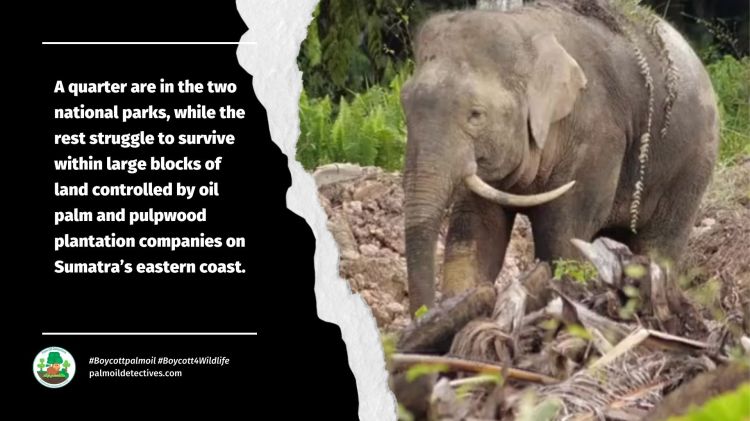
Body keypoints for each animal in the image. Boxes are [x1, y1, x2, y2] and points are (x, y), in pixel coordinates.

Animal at [401, 0, 719, 315]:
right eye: (406, 104)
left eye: (476, 114)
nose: (423, 313)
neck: (525, 27)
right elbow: (477, 228)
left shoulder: (596, 136)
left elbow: (563, 234)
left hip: (692, 165)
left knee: (658, 244)